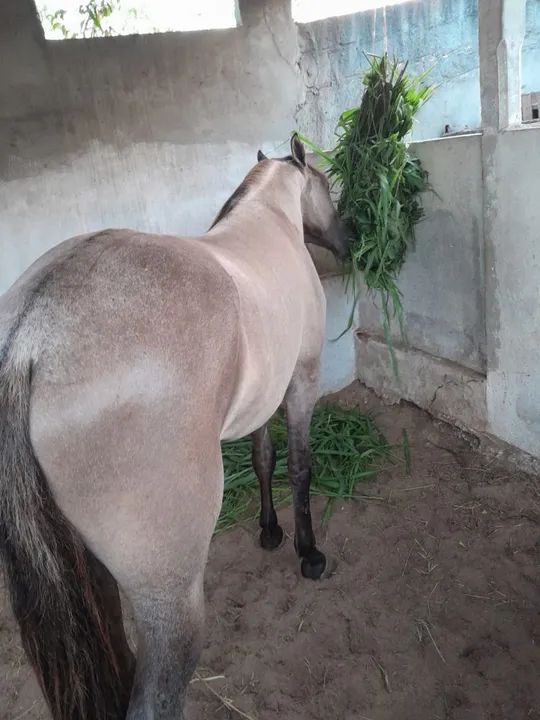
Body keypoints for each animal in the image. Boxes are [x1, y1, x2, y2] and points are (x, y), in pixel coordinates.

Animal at [0, 134, 348, 720]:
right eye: (326, 185)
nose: (347, 240)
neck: (268, 224)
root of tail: (31, 336)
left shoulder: (262, 402)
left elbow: (264, 461)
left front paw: (270, 531)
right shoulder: (301, 380)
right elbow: (299, 467)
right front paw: (308, 552)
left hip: (90, 575)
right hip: (170, 600)